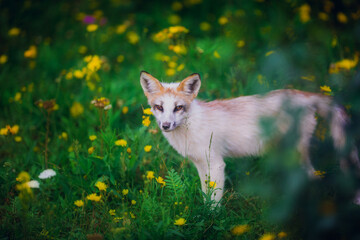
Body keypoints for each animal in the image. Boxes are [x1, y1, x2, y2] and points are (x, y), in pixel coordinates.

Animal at [139, 70, 360, 203]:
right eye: (159, 107)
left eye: (178, 108)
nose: (166, 126)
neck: (190, 129)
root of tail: (301, 94)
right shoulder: (201, 164)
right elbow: (205, 195)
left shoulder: (216, 164)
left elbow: (214, 201)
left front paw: (211, 220)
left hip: (295, 151)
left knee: (312, 176)